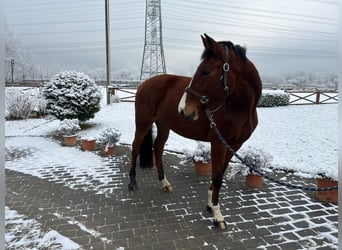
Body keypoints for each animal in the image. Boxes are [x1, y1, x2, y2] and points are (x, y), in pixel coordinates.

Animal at [129, 33, 262, 229]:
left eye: (205, 71)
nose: (183, 110)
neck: (237, 107)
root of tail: (145, 83)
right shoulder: (218, 143)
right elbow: (217, 177)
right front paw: (217, 215)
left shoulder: (234, 145)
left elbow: (220, 174)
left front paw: (210, 206)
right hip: (143, 123)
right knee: (136, 147)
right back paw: (132, 182)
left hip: (164, 126)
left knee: (158, 148)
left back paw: (164, 183)